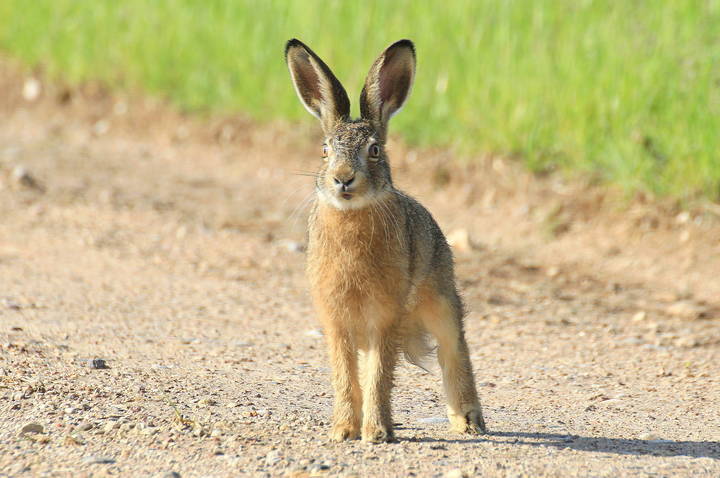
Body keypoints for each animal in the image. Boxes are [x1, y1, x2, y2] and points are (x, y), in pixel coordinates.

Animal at [285, 38, 486, 443]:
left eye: (374, 151)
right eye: (325, 151)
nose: (343, 179)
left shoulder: (385, 315)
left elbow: (379, 375)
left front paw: (376, 432)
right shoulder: (336, 318)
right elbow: (346, 375)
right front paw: (343, 430)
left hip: (440, 298)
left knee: (454, 350)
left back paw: (468, 421)